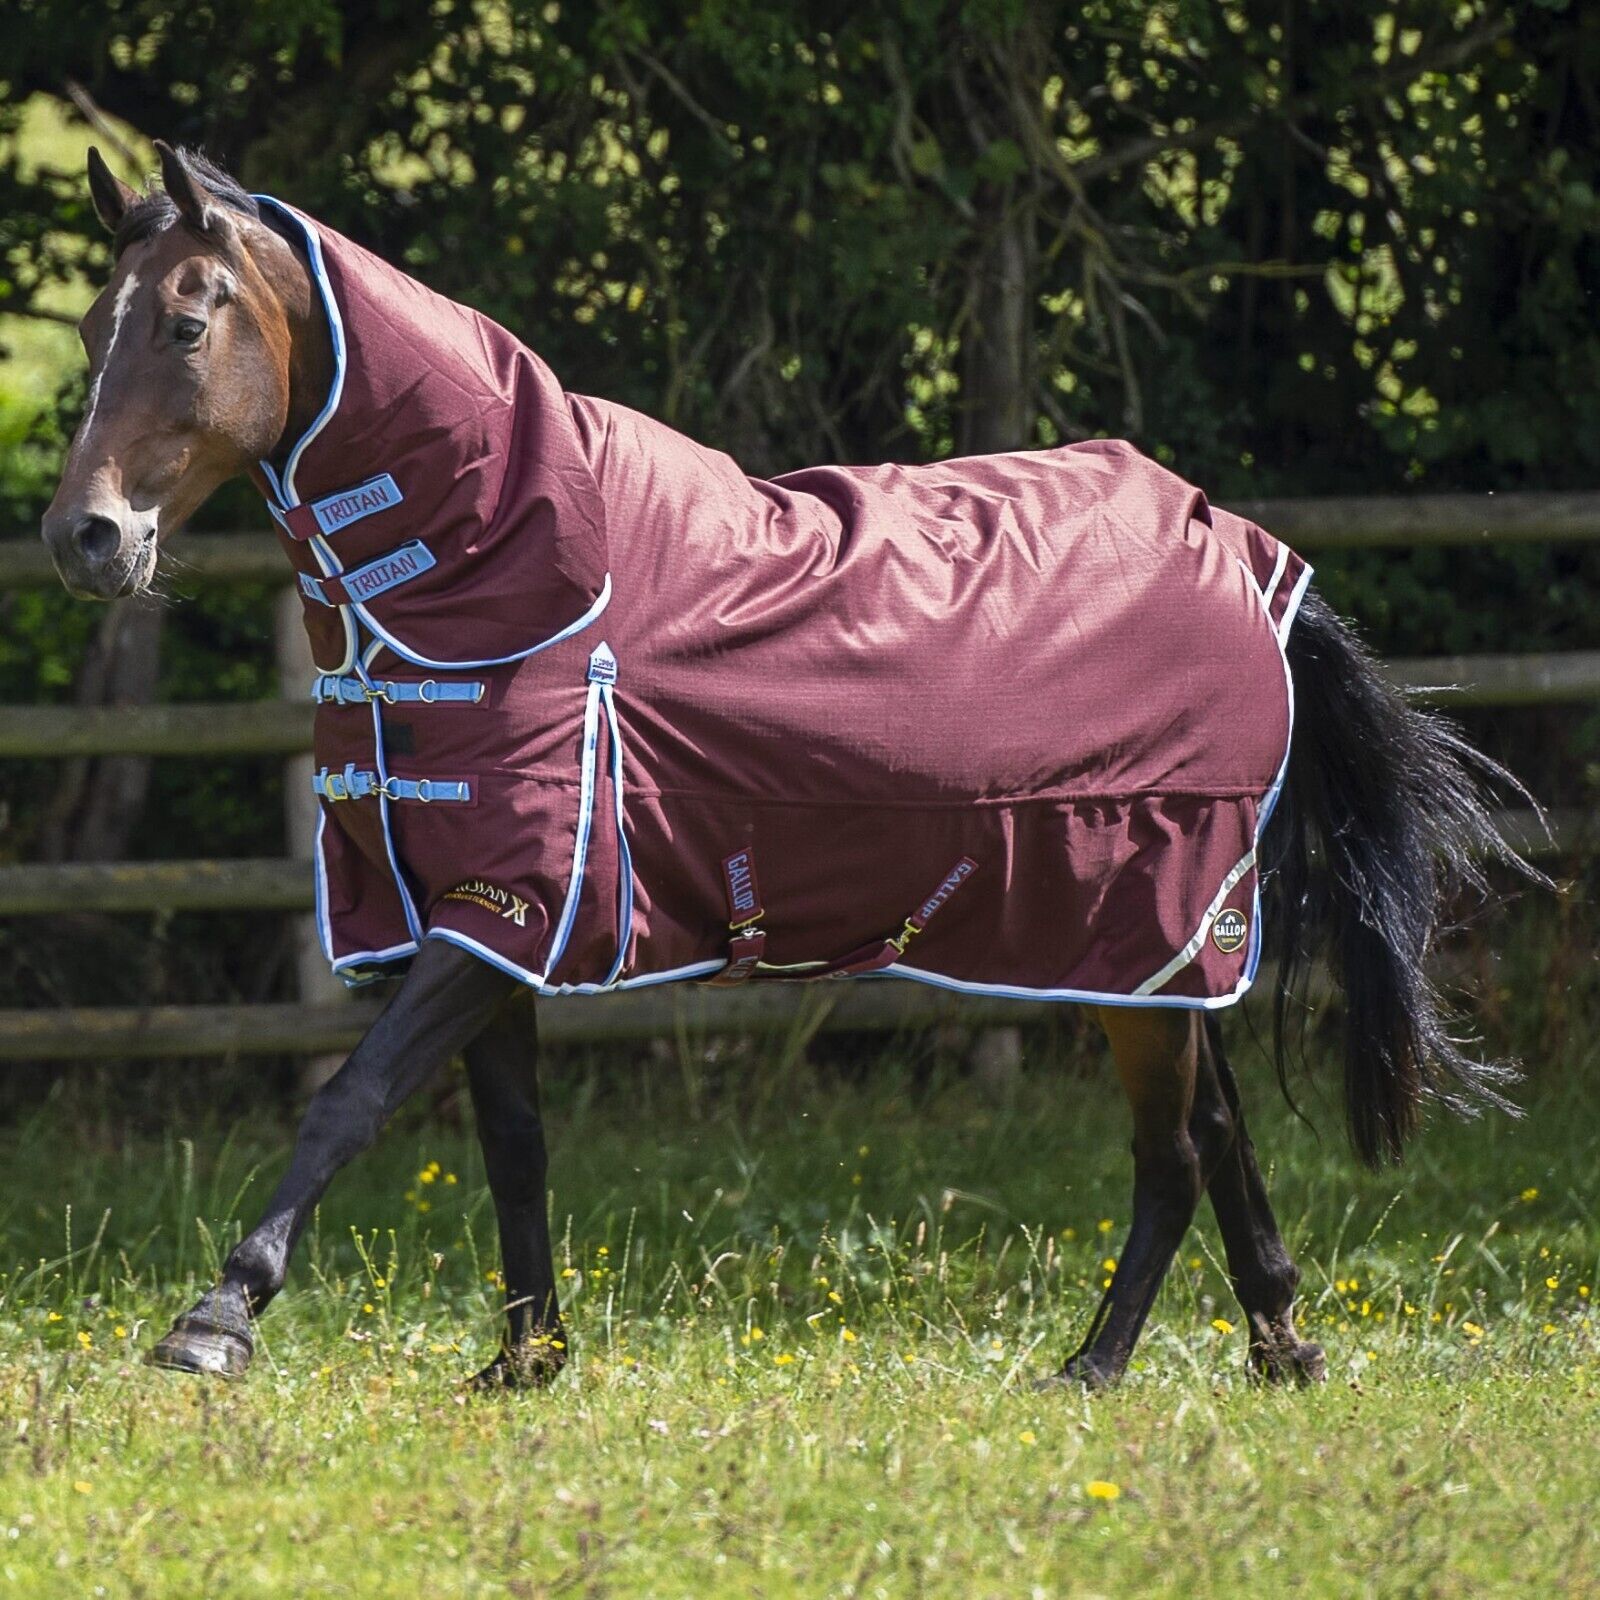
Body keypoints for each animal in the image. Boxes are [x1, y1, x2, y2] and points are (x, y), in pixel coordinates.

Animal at [40, 142, 1536, 1391]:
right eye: (91, 330)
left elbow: (346, 1101)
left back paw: (1092, 1370)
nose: (84, 538)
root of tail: (1244, 552)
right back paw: (1279, 1342)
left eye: (184, 324)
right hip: (1138, 947)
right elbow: (512, 1145)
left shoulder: (507, 911)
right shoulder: (479, 925)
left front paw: (217, 1318)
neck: (506, 583)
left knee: (1169, 1150)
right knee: (1216, 1126)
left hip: (1140, 916)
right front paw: (524, 1363)